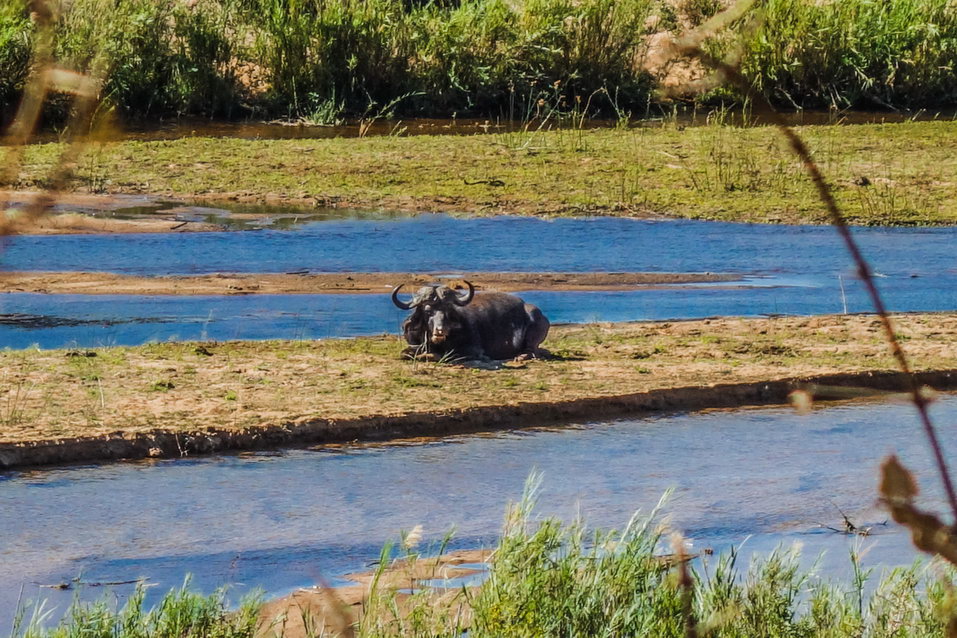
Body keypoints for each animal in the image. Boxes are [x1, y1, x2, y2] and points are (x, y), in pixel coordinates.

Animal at [388, 282, 548, 362]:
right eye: (428, 311)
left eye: (448, 309)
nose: (440, 330)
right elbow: (404, 353)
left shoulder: (473, 350)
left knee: (533, 351)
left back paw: (520, 356)